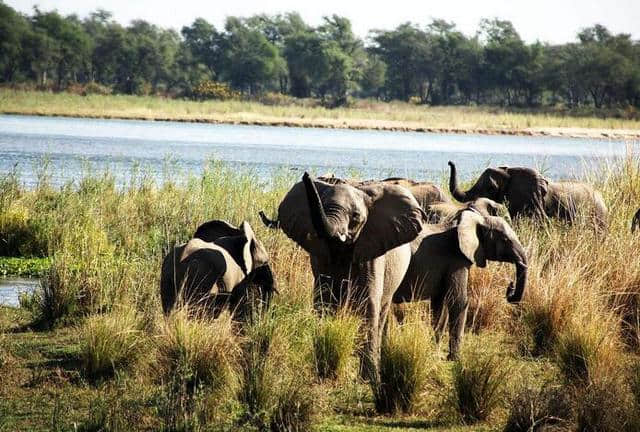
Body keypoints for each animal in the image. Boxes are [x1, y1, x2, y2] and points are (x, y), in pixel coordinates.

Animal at [258, 172, 428, 382]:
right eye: (322, 206)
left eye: (355, 217)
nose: (306, 174)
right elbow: (324, 299)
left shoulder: (371, 249)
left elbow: (367, 304)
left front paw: (369, 380)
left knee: (382, 311)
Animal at [392, 208, 528, 360]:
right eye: (505, 240)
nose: (510, 286)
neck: (479, 219)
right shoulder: (457, 260)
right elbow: (458, 301)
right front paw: (455, 359)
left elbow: (441, 303)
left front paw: (434, 351)